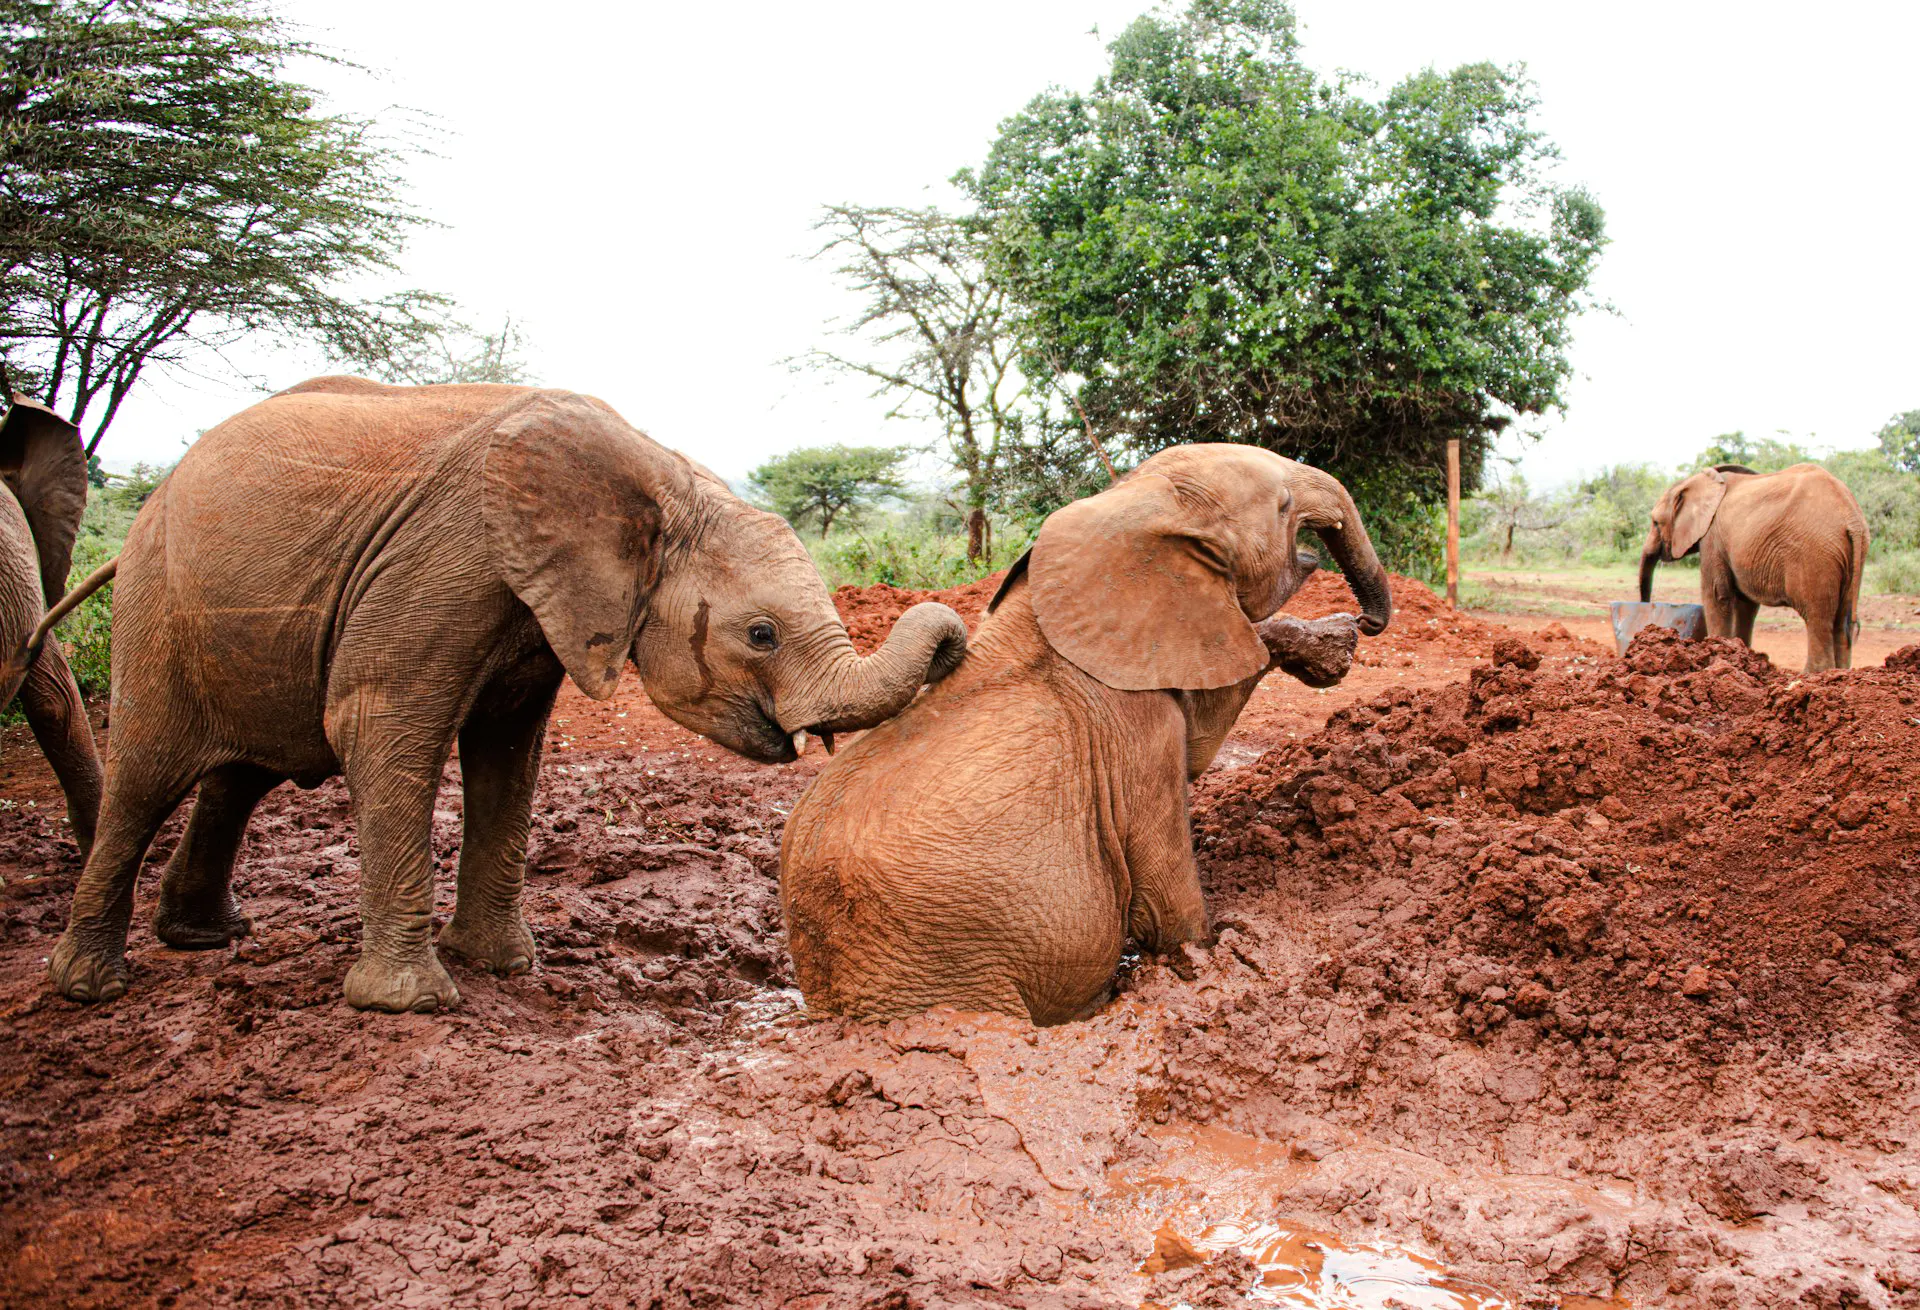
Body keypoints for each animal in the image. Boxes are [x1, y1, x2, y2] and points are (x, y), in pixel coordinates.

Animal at [47, 376, 968, 1012]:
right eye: (763, 635)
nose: (957, 640)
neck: (659, 473)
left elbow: (507, 753)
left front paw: (503, 965)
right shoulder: (443, 563)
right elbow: (380, 726)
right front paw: (411, 1004)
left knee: (241, 774)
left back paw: (203, 939)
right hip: (157, 606)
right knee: (148, 776)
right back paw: (88, 987)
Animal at [779, 443, 1392, 1025]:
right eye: (1284, 506)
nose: (1369, 622)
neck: (1126, 508)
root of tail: (833, 1006)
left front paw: (1329, 648)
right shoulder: (1133, 731)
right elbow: (1166, 906)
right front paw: (1210, 949)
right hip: (948, 975)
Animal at [1639, 463, 1867, 672]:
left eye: (1655, 522)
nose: (1647, 610)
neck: (1698, 480)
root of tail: (1852, 518)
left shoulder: (1712, 536)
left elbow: (1717, 595)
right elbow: (1745, 603)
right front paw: (1741, 656)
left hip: (1815, 555)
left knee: (1817, 618)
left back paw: (1812, 676)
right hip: (1849, 555)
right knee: (1841, 621)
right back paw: (1839, 673)